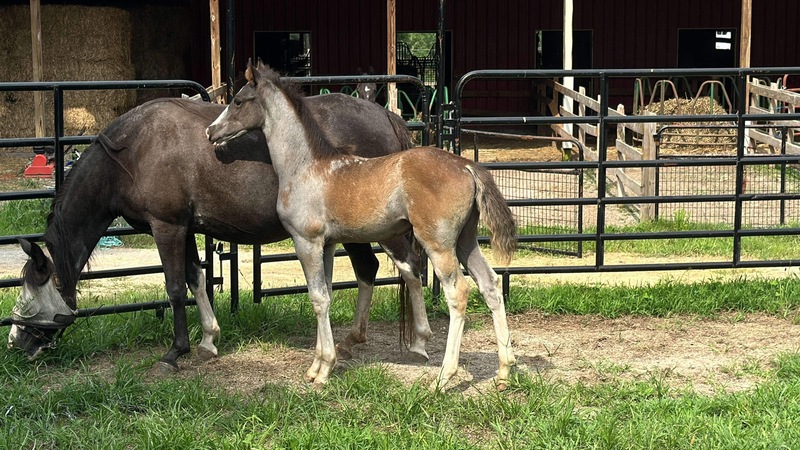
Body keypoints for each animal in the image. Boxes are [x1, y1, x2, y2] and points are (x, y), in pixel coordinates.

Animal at [7, 95, 432, 370]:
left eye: (33, 291)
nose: (15, 342)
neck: (131, 151)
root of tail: (386, 116)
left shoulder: (167, 227)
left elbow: (174, 287)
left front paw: (174, 353)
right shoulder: (185, 228)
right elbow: (196, 280)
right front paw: (209, 339)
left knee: (410, 269)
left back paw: (418, 344)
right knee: (368, 270)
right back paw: (350, 341)